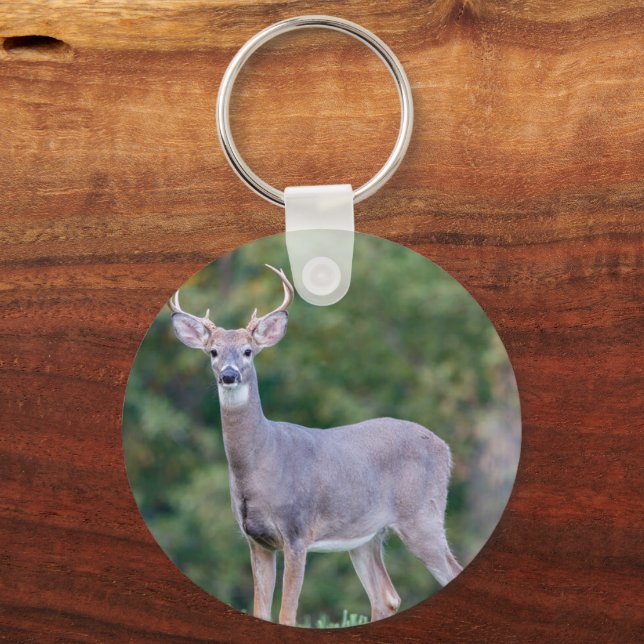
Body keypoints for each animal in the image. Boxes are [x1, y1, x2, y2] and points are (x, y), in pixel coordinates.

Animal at [169, 264, 462, 626]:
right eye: (213, 351)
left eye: (248, 351)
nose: (228, 375)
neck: (262, 463)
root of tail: (445, 448)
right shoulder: (256, 540)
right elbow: (262, 609)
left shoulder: (297, 531)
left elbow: (287, 614)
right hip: (365, 535)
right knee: (387, 596)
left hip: (423, 514)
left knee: (447, 572)